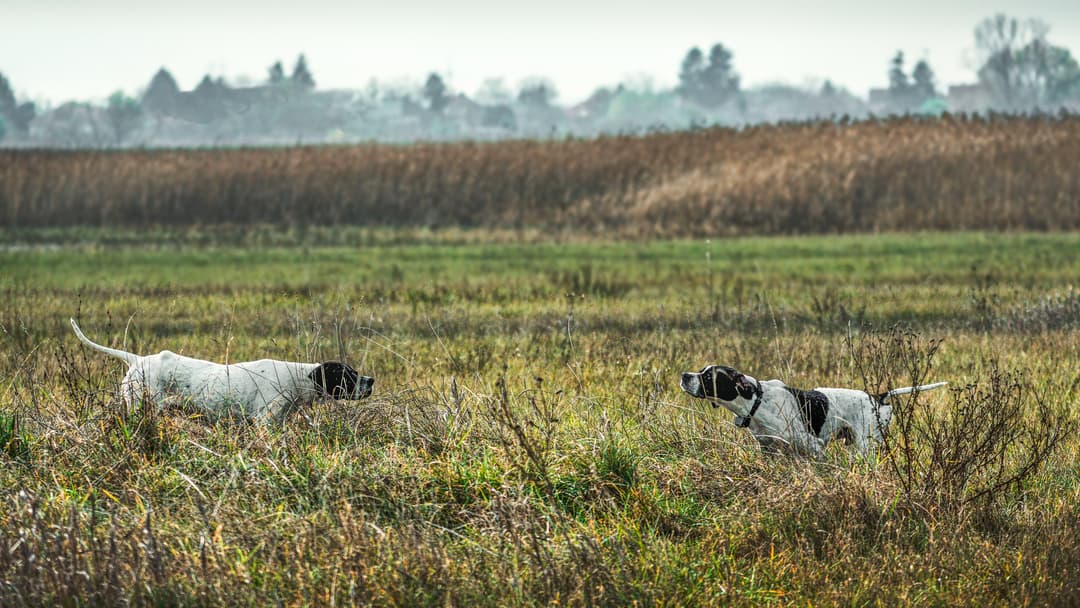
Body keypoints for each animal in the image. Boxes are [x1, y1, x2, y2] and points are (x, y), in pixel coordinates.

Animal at [70, 319, 375, 423]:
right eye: (348, 375)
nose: (371, 380)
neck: (298, 378)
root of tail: (138, 360)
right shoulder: (264, 421)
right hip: (140, 405)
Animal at [682, 367, 946, 457]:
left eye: (708, 376)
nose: (684, 375)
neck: (757, 401)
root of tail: (877, 397)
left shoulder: (813, 447)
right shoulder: (770, 449)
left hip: (865, 446)